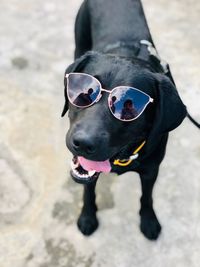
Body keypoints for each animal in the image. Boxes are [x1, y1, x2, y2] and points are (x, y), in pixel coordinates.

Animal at [61, 0, 187, 241]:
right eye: (84, 92)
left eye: (129, 106)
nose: (82, 143)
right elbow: (88, 189)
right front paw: (87, 216)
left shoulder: (151, 170)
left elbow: (147, 197)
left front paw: (149, 220)